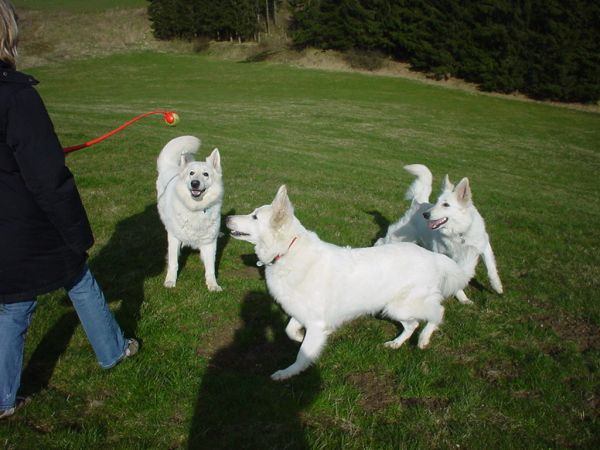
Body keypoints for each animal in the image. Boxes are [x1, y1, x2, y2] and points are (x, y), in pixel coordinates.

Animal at [156, 135, 224, 292]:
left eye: (205, 174)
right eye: (191, 173)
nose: (195, 183)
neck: (196, 209)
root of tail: (171, 166)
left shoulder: (209, 243)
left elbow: (210, 268)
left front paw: (213, 285)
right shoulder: (174, 238)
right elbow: (173, 263)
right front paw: (170, 281)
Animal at [227, 185, 476, 380]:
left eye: (254, 216)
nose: (227, 218)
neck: (287, 251)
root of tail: (432, 256)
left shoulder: (316, 322)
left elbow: (300, 355)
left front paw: (288, 372)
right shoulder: (303, 314)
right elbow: (289, 330)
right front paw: (298, 339)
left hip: (403, 305)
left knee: (437, 313)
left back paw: (423, 340)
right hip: (393, 308)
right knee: (412, 324)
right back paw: (396, 343)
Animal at [376, 163, 502, 304]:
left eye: (446, 204)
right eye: (436, 202)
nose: (425, 215)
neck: (460, 233)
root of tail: (420, 202)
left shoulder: (483, 245)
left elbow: (491, 268)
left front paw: (497, 287)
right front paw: (463, 298)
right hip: (399, 237)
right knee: (382, 240)